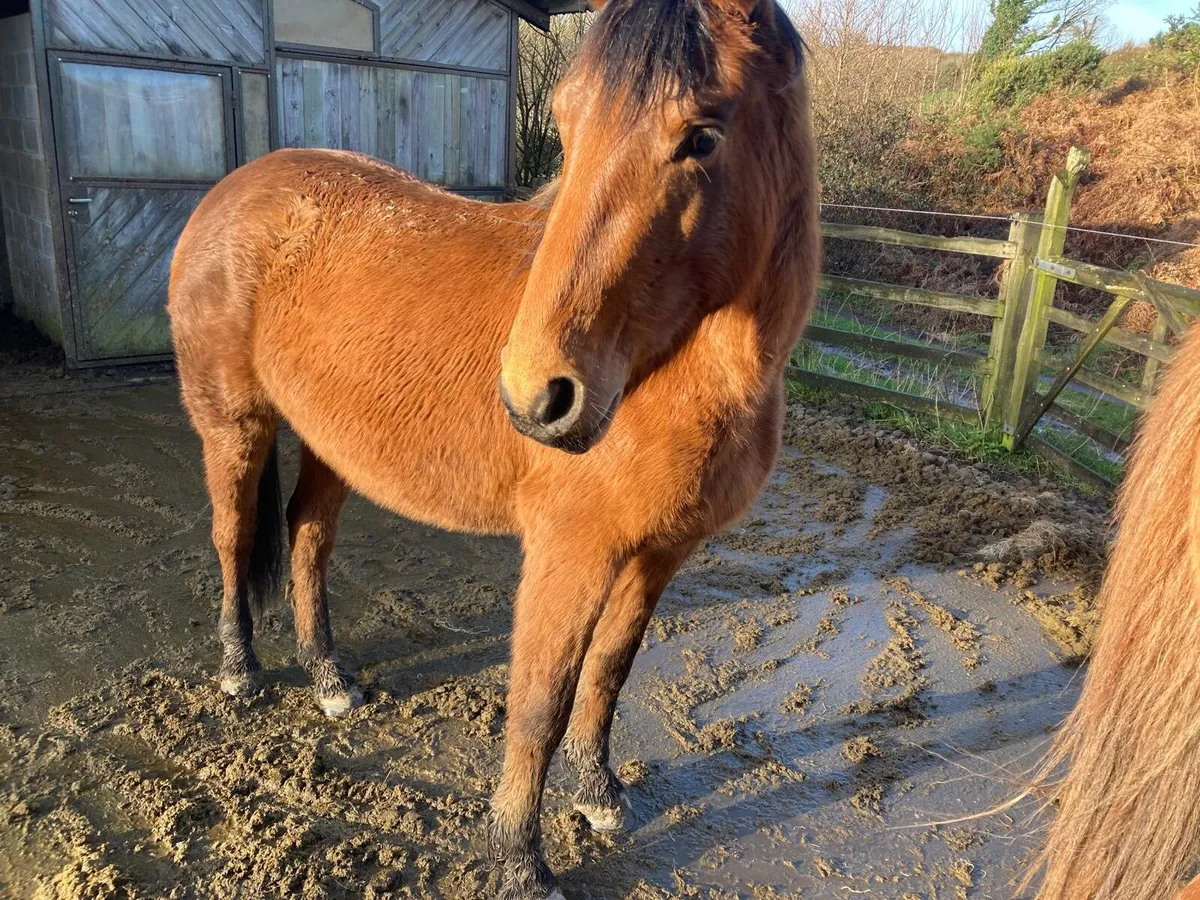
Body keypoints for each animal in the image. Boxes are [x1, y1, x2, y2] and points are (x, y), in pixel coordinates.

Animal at [167, 0, 816, 895]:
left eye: (702, 137)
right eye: (569, 129)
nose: (536, 397)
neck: (673, 369)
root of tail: (233, 191)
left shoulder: (660, 553)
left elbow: (609, 674)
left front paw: (600, 796)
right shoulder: (570, 552)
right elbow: (540, 701)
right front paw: (519, 860)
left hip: (334, 443)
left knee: (306, 539)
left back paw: (329, 679)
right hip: (234, 424)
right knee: (233, 536)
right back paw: (241, 671)